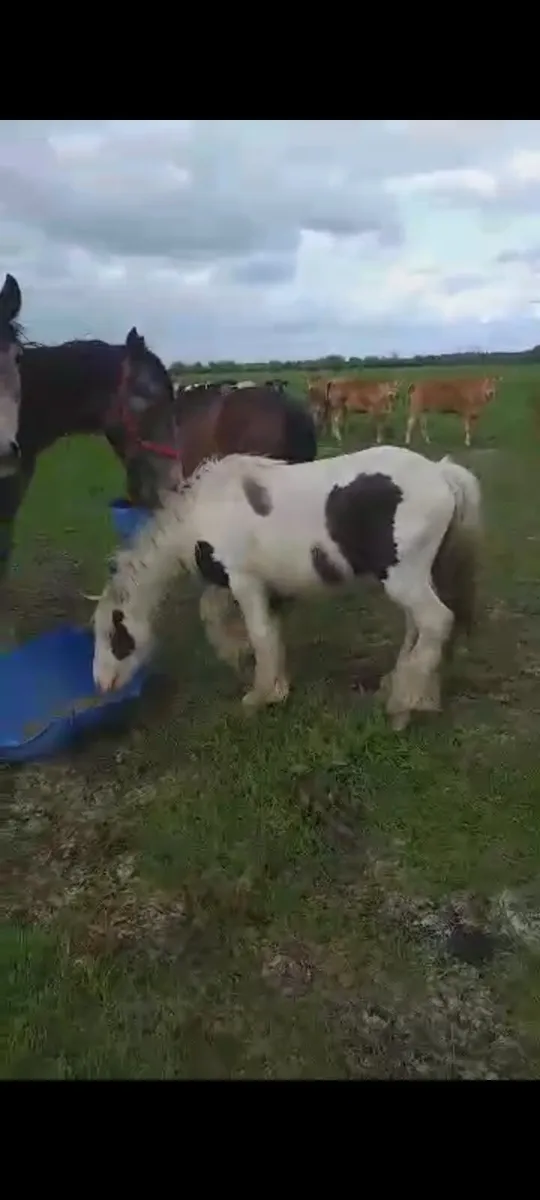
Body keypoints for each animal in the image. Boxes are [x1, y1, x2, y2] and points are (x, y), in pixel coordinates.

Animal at [92, 445, 482, 732]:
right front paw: (265, 679)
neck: (202, 515)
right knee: (419, 627)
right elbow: (253, 627)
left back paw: (403, 706)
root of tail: (442, 472)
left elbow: (259, 633)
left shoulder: (244, 581)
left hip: (405, 579)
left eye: (115, 635)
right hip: (420, 577)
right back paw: (406, 690)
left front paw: (258, 696)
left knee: (436, 621)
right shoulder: (258, 587)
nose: (102, 683)